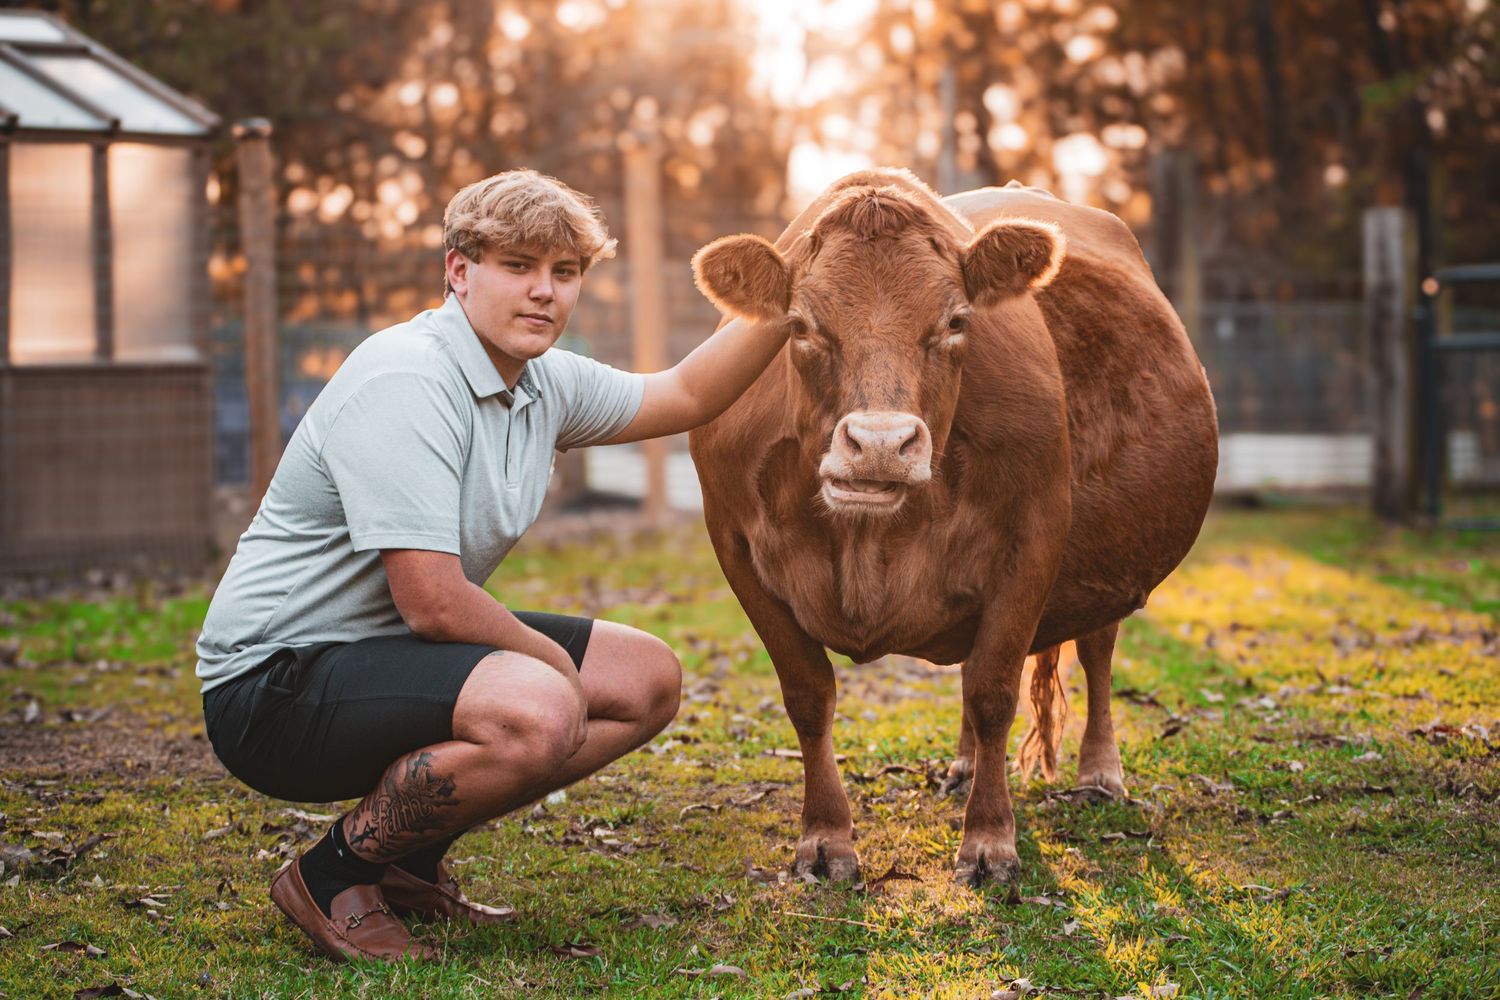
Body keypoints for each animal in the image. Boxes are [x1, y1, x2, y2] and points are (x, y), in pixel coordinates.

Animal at [687, 168, 1218, 887]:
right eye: (801, 324)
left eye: (956, 320)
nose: (880, 445)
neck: (866, 538)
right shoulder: (735, 546)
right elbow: (808, 695)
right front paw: (825, 839)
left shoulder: (1035, 537)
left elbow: (993, 691)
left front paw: (990, 841)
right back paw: (965, 767)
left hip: (1109, 559)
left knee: (1097, 650)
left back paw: (1100, 773)